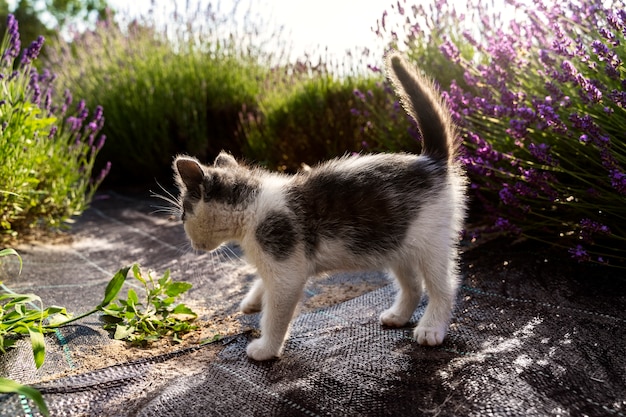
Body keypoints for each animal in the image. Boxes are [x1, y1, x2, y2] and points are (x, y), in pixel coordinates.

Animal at [171, 52, 464, 360]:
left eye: (183, 213)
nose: (190, 239)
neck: (253, 207)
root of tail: (430, 161)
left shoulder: (286, 270)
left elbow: (275, 314)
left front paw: (266, 348)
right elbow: (263, 283)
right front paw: (253, 299)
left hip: (431, 242)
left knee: (443, 286)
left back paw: (431, 328)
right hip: (397, 242)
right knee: (413, 285)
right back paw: (398, 316)